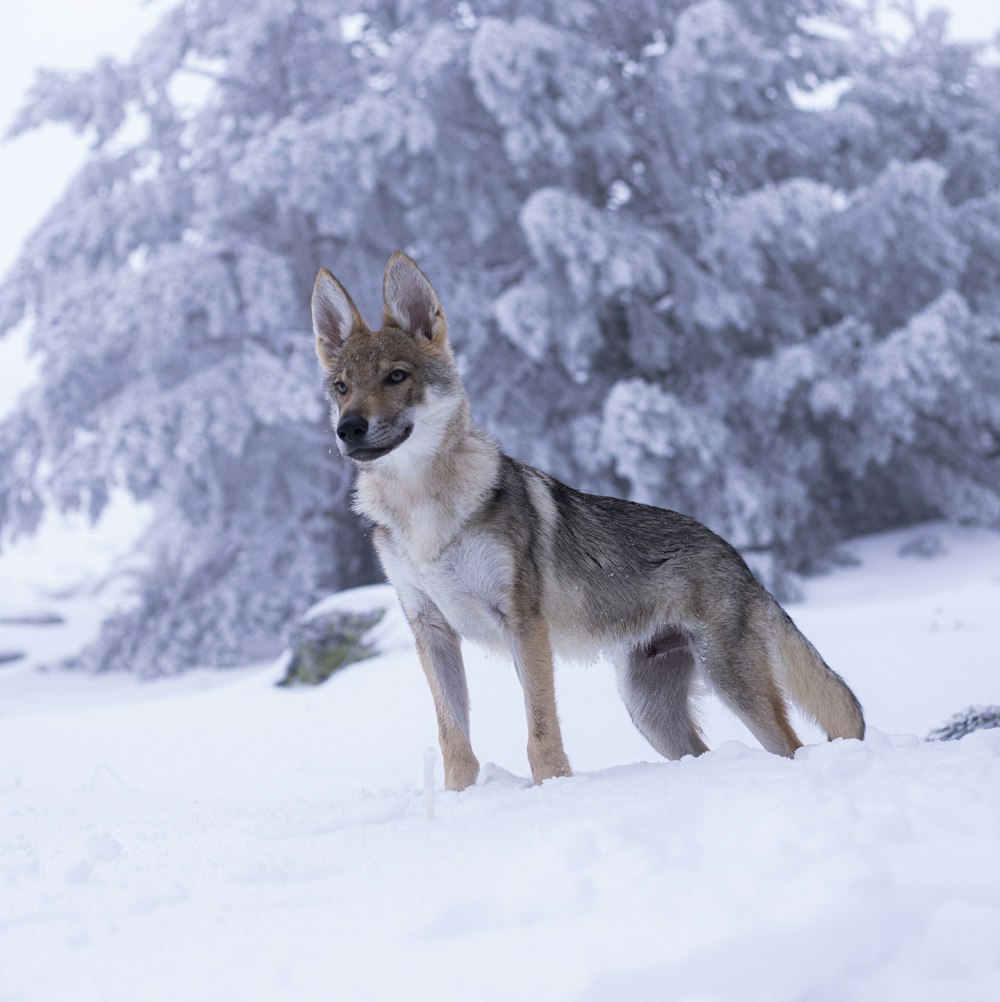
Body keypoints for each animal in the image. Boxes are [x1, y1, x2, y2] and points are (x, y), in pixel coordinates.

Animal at [308, 250, 865, 789]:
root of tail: (740, 558)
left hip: (729, 686)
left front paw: (552, 792)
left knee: (791, 745)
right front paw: (458, 801)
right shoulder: (431, 629)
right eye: (342, 387)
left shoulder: (524, 626)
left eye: (396, 376)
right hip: (651, 713)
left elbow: (540, 733)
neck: (422, 507)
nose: (348, 428)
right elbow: (454, 740)